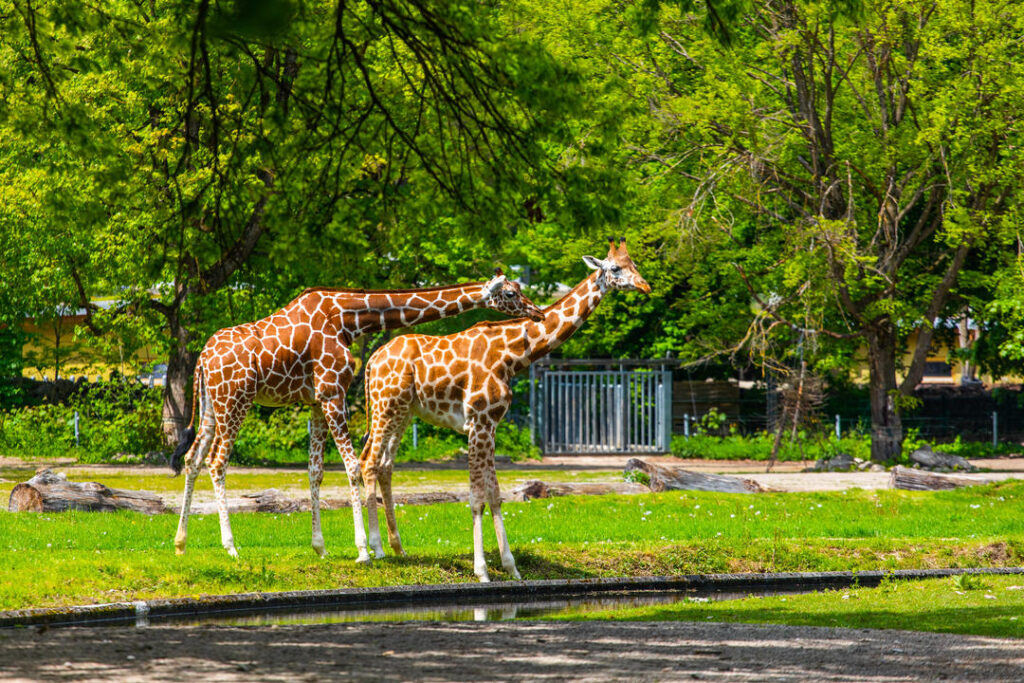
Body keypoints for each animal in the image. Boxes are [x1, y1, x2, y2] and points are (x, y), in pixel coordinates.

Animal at [167, 270, 544, 565]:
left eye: (520, 288)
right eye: (511, 293)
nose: (537, 312)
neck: (349, 319)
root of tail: (202, 359)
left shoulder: (317, 400)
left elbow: (316, 472)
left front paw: (320, 547)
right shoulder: (334, 392)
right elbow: (352, 467)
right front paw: (364, 549)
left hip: (211, 405)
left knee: (193, 457)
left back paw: (181, 544)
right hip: (235, 401)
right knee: (217, 461)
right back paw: (230, 547)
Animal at [358, 237, 647, 581]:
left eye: (635, 265)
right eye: (615, 268)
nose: (645, 286)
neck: (512, 356)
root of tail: (372, 361)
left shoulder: (492, 424)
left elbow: (495, 495)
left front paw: (511, 566)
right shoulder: (478, 423)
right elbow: (476, 497)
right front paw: (482, 570)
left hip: (403, 411)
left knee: (385, 464)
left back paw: (398, 549)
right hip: (385, 406)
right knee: (368, 462)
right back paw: (372, 551)